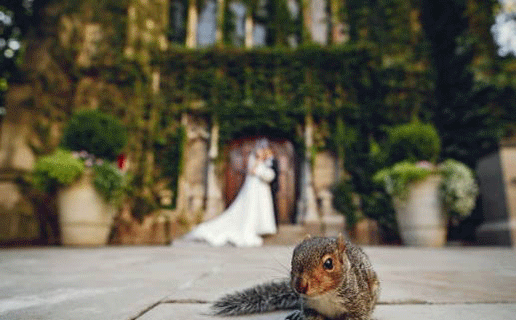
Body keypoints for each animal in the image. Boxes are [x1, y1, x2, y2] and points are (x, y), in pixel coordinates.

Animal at [212, 232, 380, 320]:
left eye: (329, 263)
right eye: (293, 257)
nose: (300, 286)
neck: (325, 296)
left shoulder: (357, 305)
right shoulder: (310, 308)